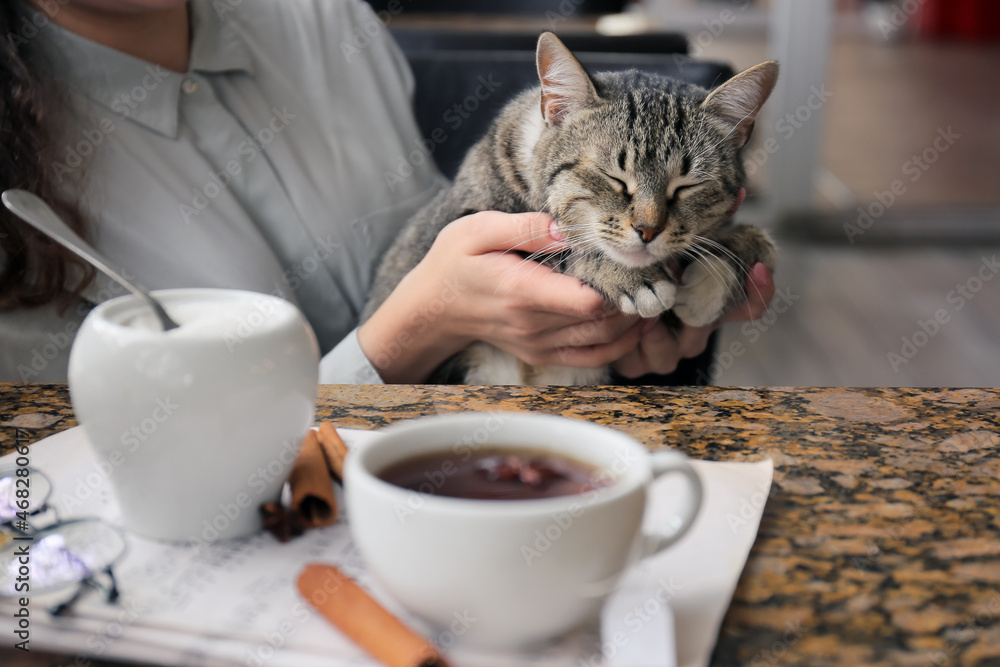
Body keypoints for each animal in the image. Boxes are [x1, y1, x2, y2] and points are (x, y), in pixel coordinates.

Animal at [368, 32, 780, 386]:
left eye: (687, 186)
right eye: (613, 176)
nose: (648, 230)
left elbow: (760, 243)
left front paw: (712, 280)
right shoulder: (455, 226)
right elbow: (562, 248)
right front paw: (630, 277)